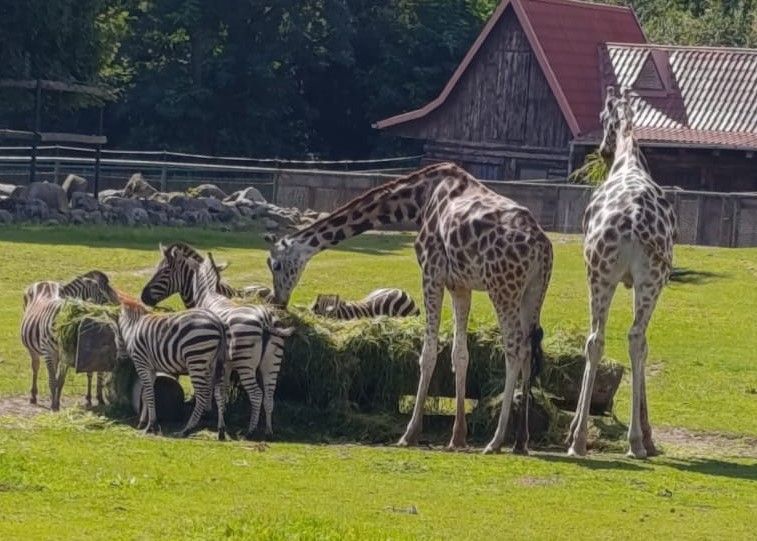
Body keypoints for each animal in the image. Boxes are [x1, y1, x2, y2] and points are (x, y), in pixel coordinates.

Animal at [21, 272, 119, 411]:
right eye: (101, 293)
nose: (116, 308)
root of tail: (44, 282)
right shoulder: (48, 352)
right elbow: (52, 380)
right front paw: (53, 406)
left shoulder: (65, 355)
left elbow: (60, 380)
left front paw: (57, 403)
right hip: (33, 349)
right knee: (35, 367)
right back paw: (33, 396)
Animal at [116, 298, 228, 439]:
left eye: (116, 331)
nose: (120, 360)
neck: (133, 329)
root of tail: (217, 320)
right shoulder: (151, 369)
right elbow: (146, 394)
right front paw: (144, 422)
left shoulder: (142, 364)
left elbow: (149, 395)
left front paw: (151, 426)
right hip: (213, 363)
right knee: (219, 393)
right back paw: (221, 430)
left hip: (196, 358)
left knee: (202, 395)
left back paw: (186, 429)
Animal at [141, 244, 293, 439]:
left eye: (164, 271)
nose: (143, 297)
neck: (208, 293)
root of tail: (265, 317)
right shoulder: (224, 362)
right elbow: (221, 387)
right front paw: (219, 414)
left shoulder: (207, 356)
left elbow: (209, 387)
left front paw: (207, 411)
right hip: (272, 364)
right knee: (268, 397)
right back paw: (268, 431)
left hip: (245, 363)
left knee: (257, 395)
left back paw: (250, 431)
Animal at [265, 163, 553, 454]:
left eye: (275, 265)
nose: (278, 300)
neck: (418, 198)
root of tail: (542, 247)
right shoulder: (459, 284)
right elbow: (460, 355)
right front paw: (457, 437)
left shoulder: (431, 272)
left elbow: (428, 354)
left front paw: (410, 433)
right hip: (533, 292)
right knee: (529, 350)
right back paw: (520, 440)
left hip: (503, 289)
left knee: (514, 349)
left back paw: (496, 440)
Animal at [567, 87, 677, 459]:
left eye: (602, 116)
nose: (602, 149)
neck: (628, 159)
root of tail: (633, 220)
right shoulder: (640, 282)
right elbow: (641, 344)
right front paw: (648, 436)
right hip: (649, 281)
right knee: (634, 338)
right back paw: (635, 442)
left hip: (600, 274)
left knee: (598, 339)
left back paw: (580, 439)